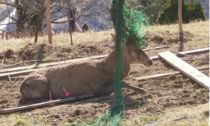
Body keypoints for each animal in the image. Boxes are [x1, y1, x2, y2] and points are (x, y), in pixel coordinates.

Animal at [18, 34, 153, 105]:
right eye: (134, 49)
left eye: (140, 46)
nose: (150, 61)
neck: (108, 72)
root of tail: (21, 87)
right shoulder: (96, 86)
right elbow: (123, 83)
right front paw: (143, 90)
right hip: (43, 83)